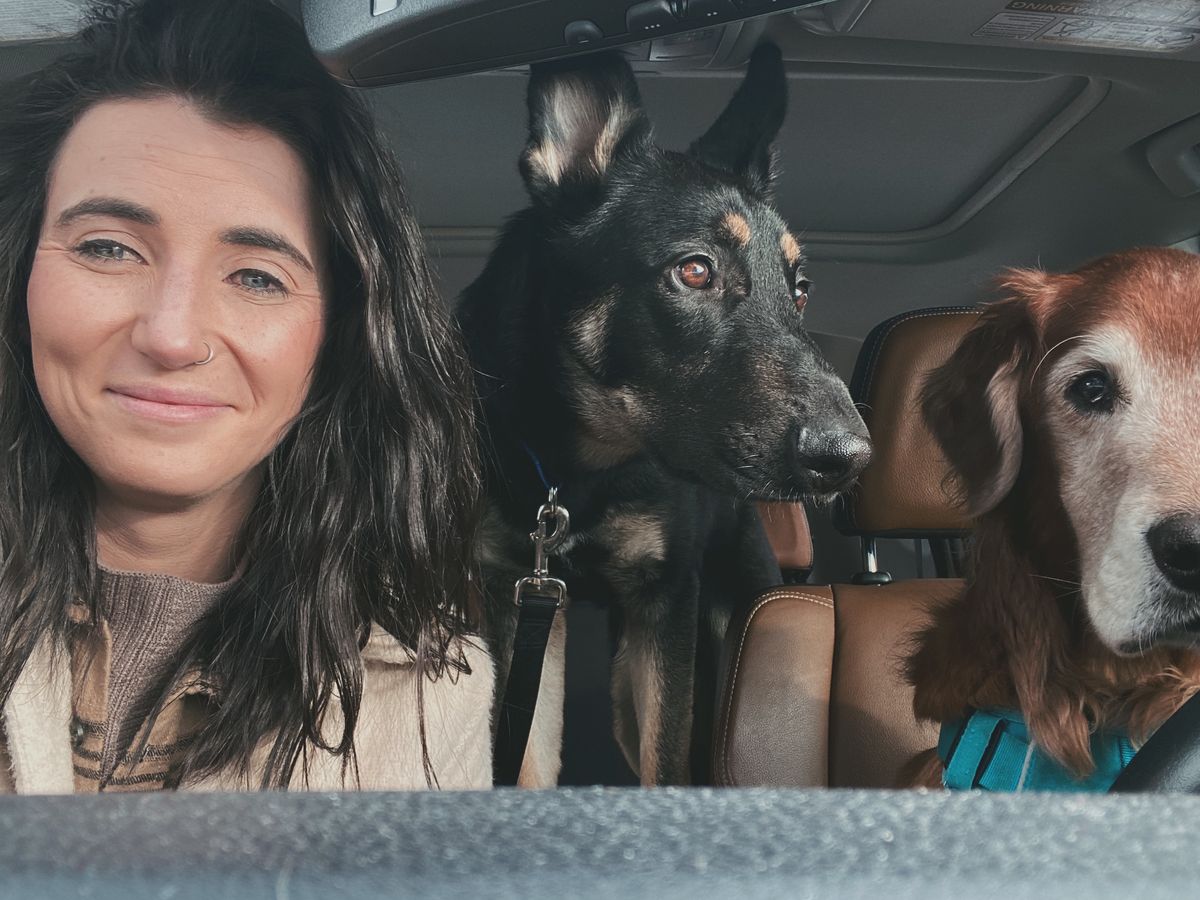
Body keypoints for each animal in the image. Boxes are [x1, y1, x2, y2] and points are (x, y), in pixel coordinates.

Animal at [456, 45, 871, 786]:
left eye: (799, 291)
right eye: (696, 271)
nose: (849, 459)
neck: (577, 473)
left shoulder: (667, 605)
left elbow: (668, 764)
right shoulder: (519, 599)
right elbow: (527, 760)